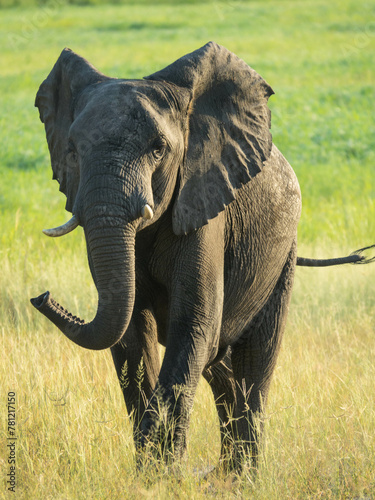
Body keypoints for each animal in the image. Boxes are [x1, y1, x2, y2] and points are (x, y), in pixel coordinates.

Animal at [30, 41, 374, 470]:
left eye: (159, 149)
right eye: (73, 151)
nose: (41, 296)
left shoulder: (205, 208)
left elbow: (192, 324)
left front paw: (164, 467)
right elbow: (130, 336)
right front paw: (153, 468)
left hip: (283, 256)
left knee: (254, 365)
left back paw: (243, 476)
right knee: (219, 366)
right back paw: (225, 473)